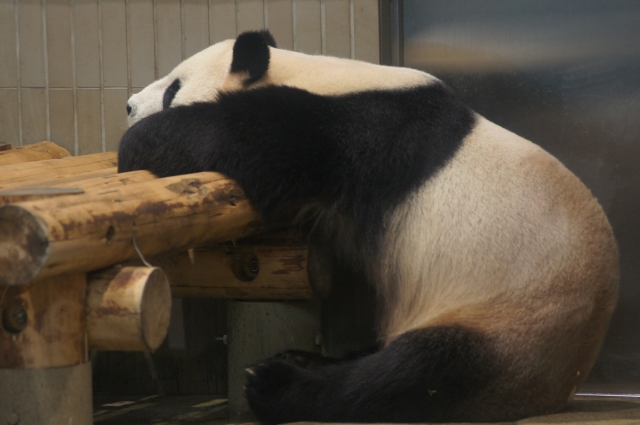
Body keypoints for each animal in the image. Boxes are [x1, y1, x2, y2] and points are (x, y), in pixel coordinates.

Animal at [117, 30, 616, 424]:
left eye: (173, 86)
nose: (128, 105)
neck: (313, 72)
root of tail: (563, 387)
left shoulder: (357, 133)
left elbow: (250, 146)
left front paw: (136, 144)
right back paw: (303, 359)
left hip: (511, 322)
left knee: (416, 374)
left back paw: (278, 384)